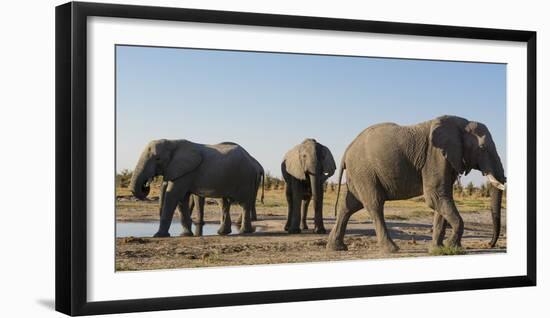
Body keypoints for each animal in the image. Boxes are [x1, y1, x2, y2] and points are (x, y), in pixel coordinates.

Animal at [132, 139, 266, 236]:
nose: (146, 184)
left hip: (245, 177)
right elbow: (182, 199)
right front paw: (186, 235)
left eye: (158, 158)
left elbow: (173, 195)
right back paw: (223, 232)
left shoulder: (186, 172)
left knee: (244, 203)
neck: (172, 142)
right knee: (225, 202)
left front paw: (159, 235)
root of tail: (251, 159)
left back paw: (244, 232)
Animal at [328, 115, 508, 252]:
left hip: (359, 174)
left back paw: (336, 247)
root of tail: (347, 150)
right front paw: (453, 248)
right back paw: (392, 249)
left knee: (349, 205)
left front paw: (437, 249)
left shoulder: (446, 159)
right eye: (482, 148)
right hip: (365, 172)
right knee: (374, 204)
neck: (461, 123)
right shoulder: (435, 156)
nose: (489, 244)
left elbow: (441, 199)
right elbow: (434, 197)